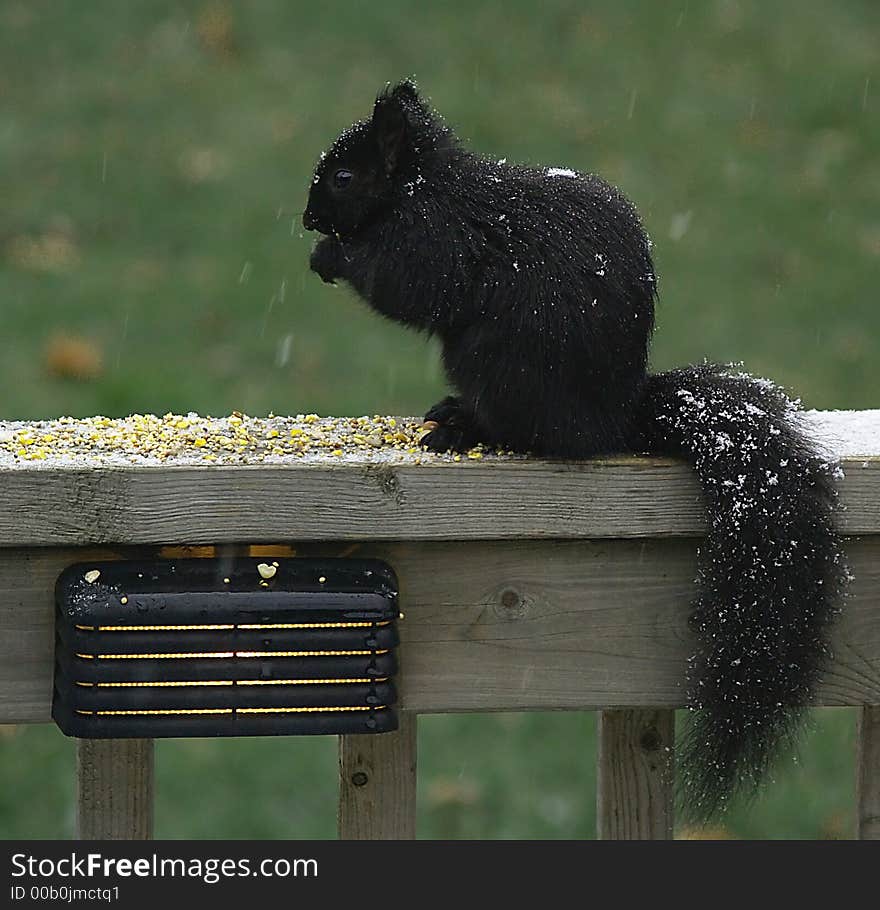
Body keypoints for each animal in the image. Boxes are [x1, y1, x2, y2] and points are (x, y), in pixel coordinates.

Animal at [300, 76, 844, 820]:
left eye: (345, 176)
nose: (306, 218)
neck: (428, 188)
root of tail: (618, 421)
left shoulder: (434, 241)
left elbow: (403, 286)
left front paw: (332, 257)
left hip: (496, 364)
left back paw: (465, 426)